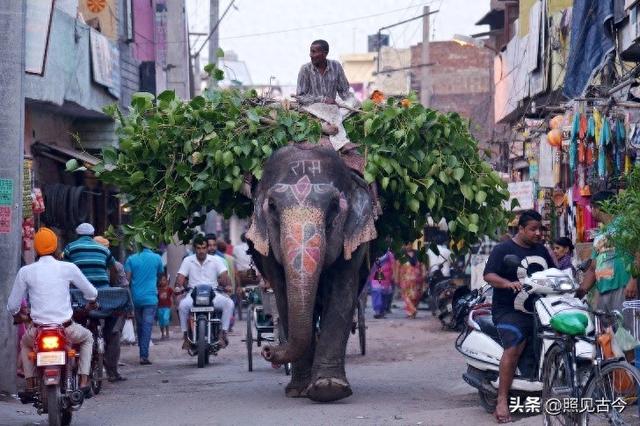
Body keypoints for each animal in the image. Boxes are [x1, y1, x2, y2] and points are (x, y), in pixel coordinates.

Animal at [244, 144, 376, 402]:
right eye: (272, 206)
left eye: (334, 207)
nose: (267, 350)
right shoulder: (269, 252)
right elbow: (283, 297)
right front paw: (298, 391)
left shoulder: (353, 242)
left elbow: (342, 293)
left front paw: (329, 388)